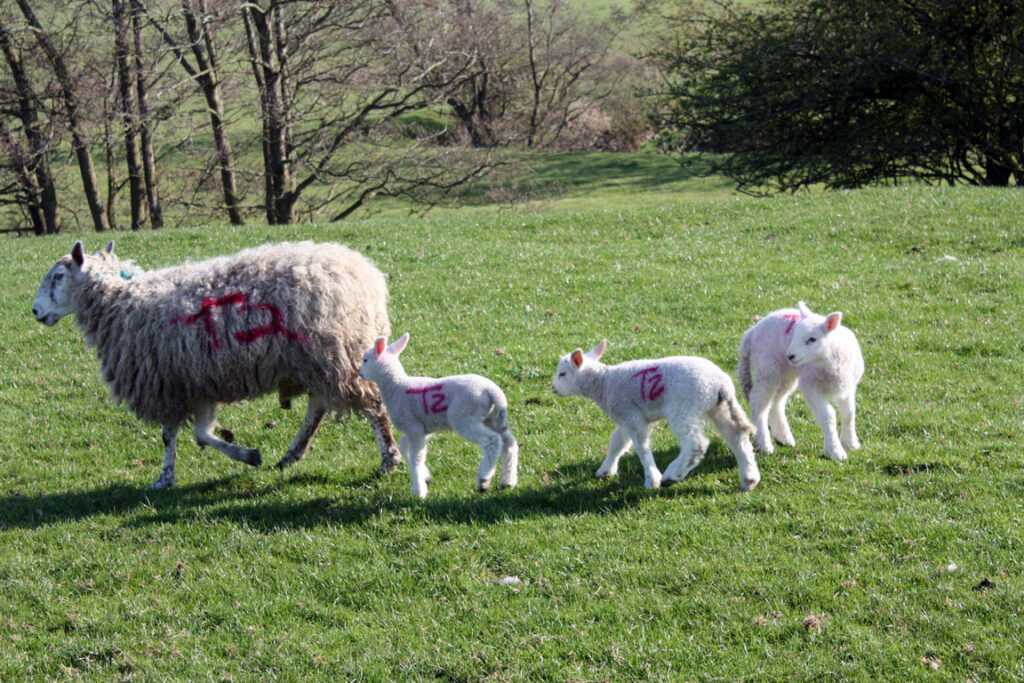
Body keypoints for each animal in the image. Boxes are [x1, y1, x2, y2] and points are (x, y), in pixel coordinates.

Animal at [33, 237, 399, 489]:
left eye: (59, 276)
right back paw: (292, 454)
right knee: (318, 406)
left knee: (373, 405)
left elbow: (171, 435)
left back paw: (389, 459)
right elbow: (201, 434)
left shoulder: (165, 383)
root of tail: (365, 275)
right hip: (317, 360)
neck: (120, 306)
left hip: (339, 354)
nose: (36, 311)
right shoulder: (195, 382)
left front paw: (164, 478)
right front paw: (248, 455)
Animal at [360, 333, 520, 499]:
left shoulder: (413, 427)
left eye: (365, 360)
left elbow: (417, 457)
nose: (360, 373)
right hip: (492, 417)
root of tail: (494, 393)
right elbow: (404, 446)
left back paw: (483, 479)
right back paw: (508, 481)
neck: (395, 386)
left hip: (464, 417)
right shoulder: (421, 428)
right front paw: (425, 476)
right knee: (509, 443)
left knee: (492, 441)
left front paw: (418, 490)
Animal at [552, 339, 761, 491]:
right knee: (737, 437)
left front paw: (652, 479)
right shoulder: (627, 417)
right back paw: (749, 479)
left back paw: (671, 476)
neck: (603, 383)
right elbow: (617, 442)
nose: (553, 389)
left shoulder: (631, 415)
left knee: (697, 444)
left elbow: (641, 446)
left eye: (562, 374)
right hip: (718, 408)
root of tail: (721, 384)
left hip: (683, 408)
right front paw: (605, 471)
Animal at [737, 301, 864, 462]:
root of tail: (752, 332)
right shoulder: (811, 387)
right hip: (767, 368)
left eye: (812, 339)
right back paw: (764, 443)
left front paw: (850, 443)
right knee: (759, 402)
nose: (790, 355)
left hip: (786, 373)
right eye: (795, 335)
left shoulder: (848, 387)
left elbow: (849, 414)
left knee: (777, 402)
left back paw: (784, 437)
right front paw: (835, 451)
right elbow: (829, 416)